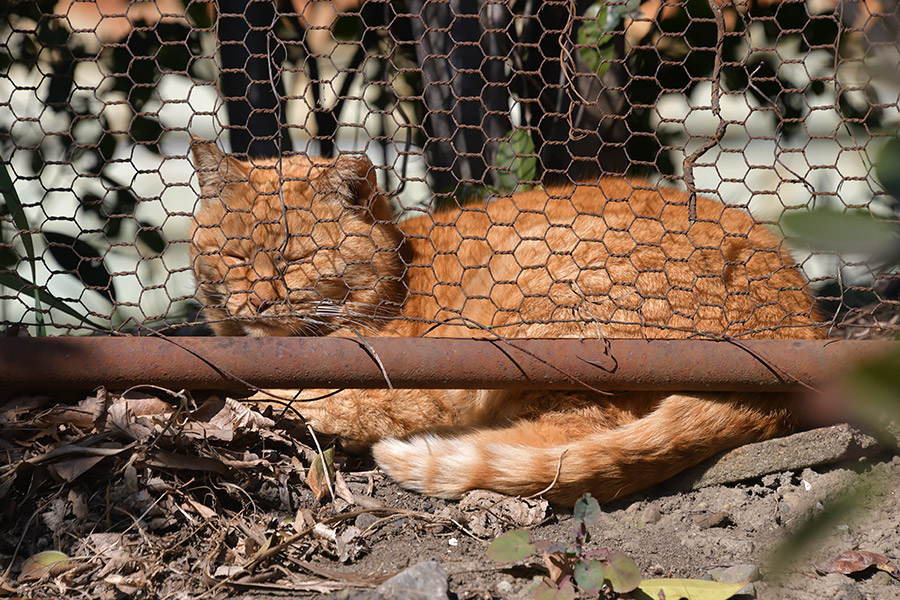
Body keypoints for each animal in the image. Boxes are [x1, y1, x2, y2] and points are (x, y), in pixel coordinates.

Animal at [192, 142, 824, 506]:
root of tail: (800, 328)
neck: (402, 276)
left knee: (567, 444)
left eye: (295, 259)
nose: (257, 302)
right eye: (232, 254)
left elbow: (327, 396)